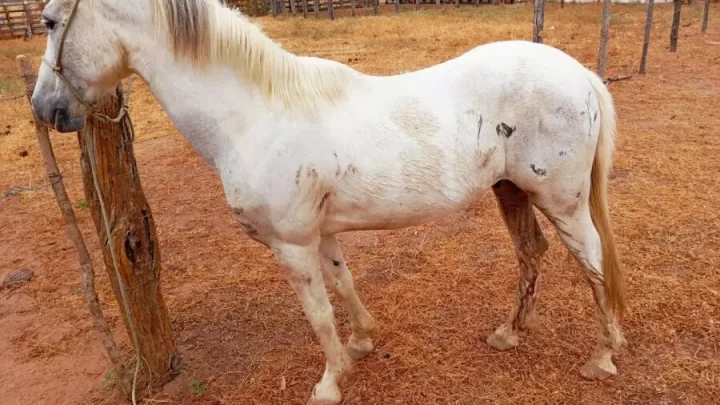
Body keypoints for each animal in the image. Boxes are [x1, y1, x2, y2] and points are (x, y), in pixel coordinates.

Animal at [29, 1, 624, 402]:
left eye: (51, 21)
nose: (44, 108)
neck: (253, 115)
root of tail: (578, 74)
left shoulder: (291, 244)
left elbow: (316, 312)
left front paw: (330, 382)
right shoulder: (323, 232)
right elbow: (343, 282)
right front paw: (361, 343)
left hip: (562, 202)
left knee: (593, 264)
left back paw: (602, 357)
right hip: (512, 193)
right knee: (531, 254)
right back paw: (509, 334)